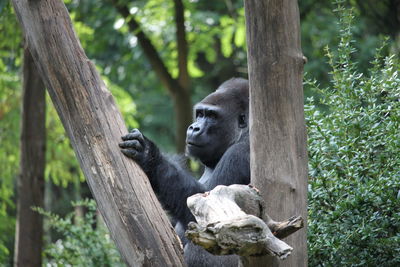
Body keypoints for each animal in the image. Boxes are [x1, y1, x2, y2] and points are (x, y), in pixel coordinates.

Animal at [119, 78, 250, 266]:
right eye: (200, 114)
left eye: (212, 116)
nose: (194, 128)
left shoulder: (240, 154)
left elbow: (210, 215)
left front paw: (150, 156)